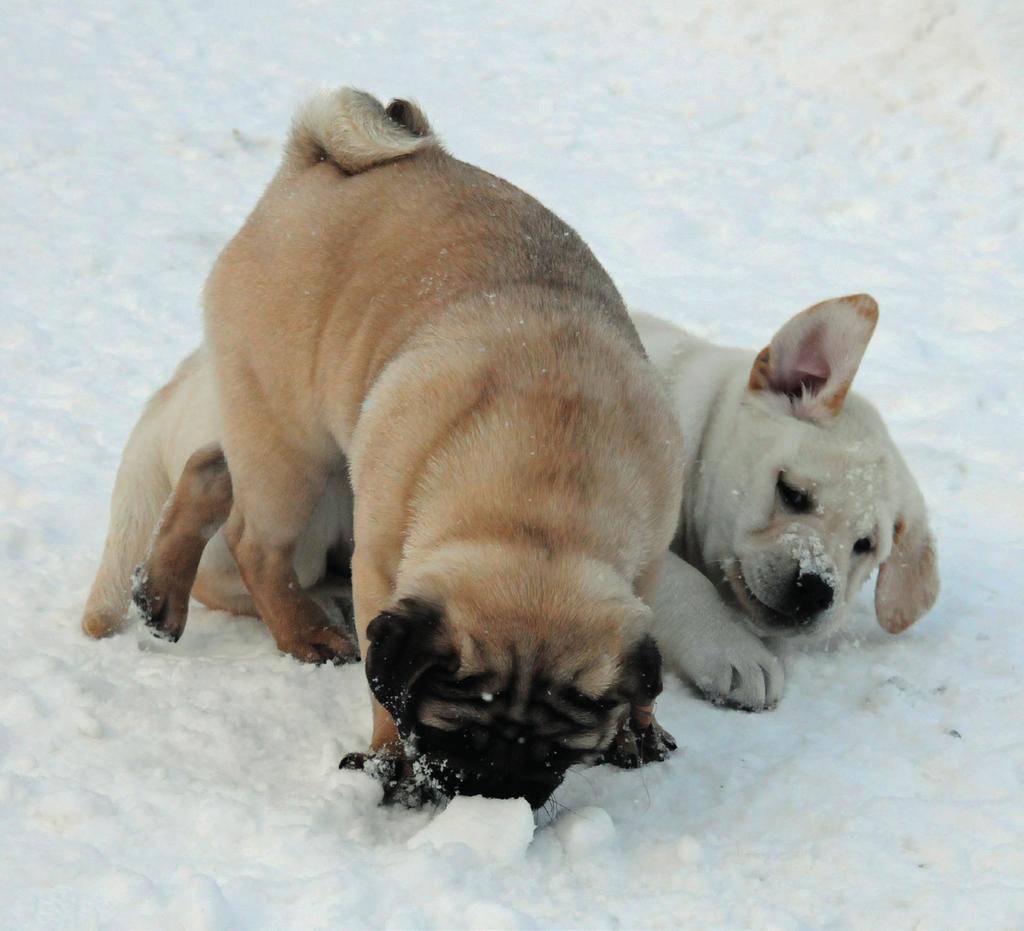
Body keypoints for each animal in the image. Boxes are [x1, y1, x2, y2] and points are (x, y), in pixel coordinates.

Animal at [83, 85, 684, 807]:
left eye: (556, 754)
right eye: (453, 730)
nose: (496, 790)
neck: (540, 509)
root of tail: (309, 168)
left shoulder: (645, 570)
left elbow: (643, 674)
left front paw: (638, 728)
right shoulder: (380, 570)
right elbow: (383, 687)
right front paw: (389, 757)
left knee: (209, 468)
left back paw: (159, 592)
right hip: (291, 442)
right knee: (254, 541)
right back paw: (303, 632)